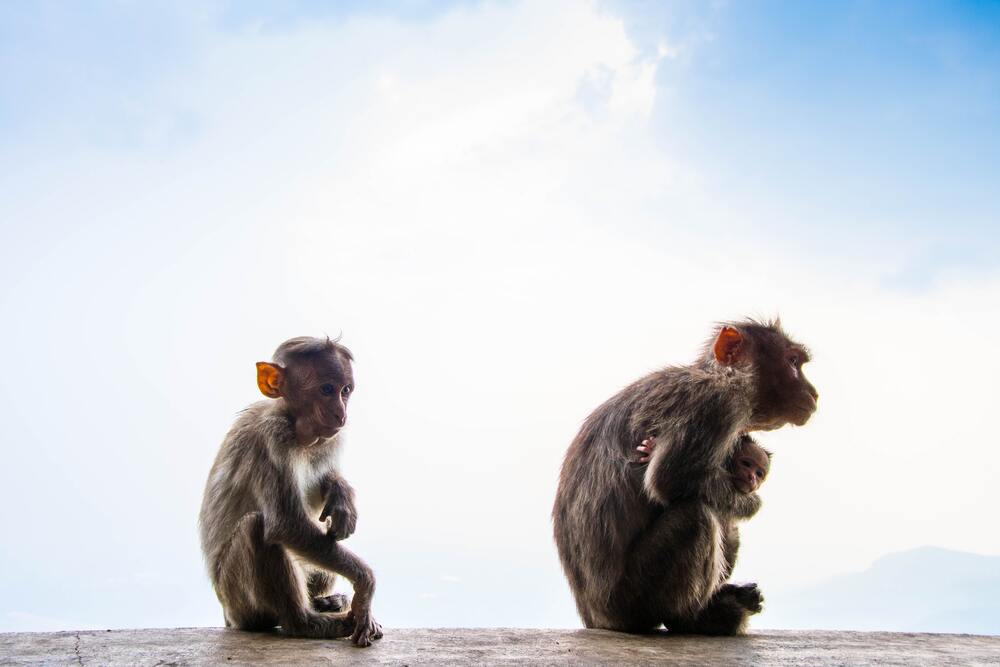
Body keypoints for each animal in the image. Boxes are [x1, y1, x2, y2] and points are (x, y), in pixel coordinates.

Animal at [199, 336, 383, 647]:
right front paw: (365, 584)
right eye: (326, 389)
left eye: (345, 390)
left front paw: (341, 495)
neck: (294, 425)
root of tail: (228, 617)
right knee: (257, 526)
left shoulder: (329, 440)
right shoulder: (273, 437)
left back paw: (325, 602)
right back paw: (307, 622)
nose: (341, 413)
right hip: (237, 600)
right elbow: (286, 524)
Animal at [552, 319, 817, 636]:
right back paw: (693, 619)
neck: (722, 377)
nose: (813, 392)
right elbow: (672, 479)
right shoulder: (714, 403)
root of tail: (595, 618)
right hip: (631, 599)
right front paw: (751, 503)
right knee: (697, 516)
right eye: (792, 362)